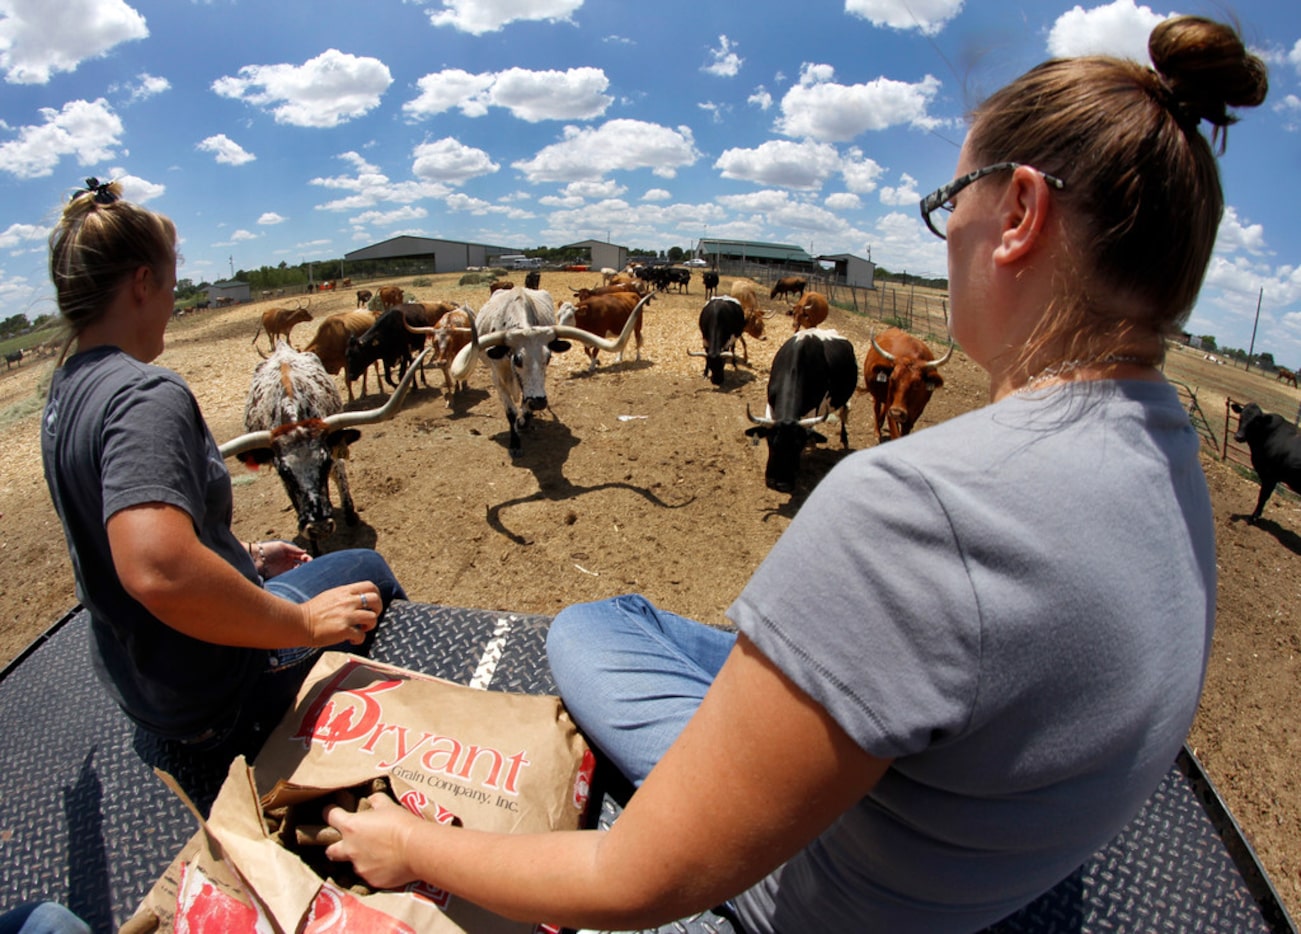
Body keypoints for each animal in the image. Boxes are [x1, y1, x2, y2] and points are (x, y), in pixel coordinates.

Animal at [452, 288, 650, 457]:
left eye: (548, 358)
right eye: (517, 359)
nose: (539, 402)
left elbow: (524, 405)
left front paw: (525, 421)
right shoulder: (498, 378)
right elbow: (510, 412)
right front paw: (515, 444)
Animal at [749, 329, 858, 494]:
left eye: (798, 446)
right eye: (770, 443)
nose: (782, 486)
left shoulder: (814, 409)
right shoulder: (771, 405)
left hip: (845, 396)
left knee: (844, 413)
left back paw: (843, 438)